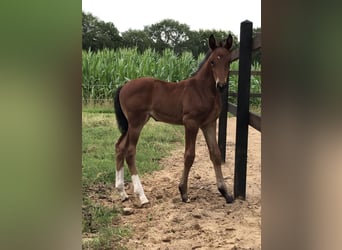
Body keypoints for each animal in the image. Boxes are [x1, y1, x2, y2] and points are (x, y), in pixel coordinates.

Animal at [113, 33, 234, 205]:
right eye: (212, 62)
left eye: (229, 61)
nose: (221, 85)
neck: (202, 90)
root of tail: (123, 86)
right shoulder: (191, 123)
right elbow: (189, 156)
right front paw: (183, 192)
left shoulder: (209, 124)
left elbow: (215, 154)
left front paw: (225, 193)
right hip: (136, 122)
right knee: (130, 151)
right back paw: (142, 196)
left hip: (132, 124)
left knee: (120, 147)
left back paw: (122, 193)